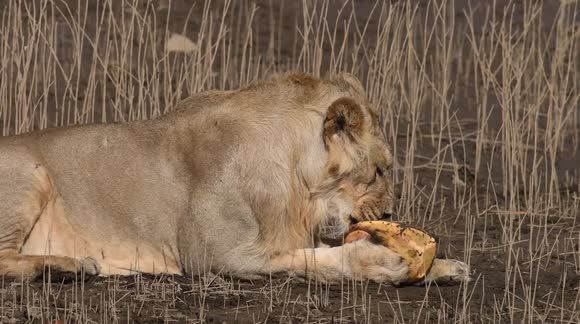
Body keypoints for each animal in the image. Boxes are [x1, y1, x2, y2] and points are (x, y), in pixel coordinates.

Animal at [0, 72, 466, 284]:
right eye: (381, 170)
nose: (388, 213)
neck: (298, 188)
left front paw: (444, 265)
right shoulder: (218, 256)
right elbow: (312, 260)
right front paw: (381, 262)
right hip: (29, 174)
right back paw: (73, 265)